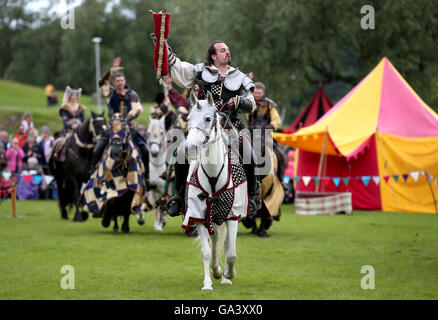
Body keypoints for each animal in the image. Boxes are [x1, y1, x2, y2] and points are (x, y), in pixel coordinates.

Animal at [182, 91, 250, 292]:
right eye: (188, 119)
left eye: (207, 118)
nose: (189, 148)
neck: (213, 175)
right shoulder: (198, 216)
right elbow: (206, 252)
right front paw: (209, 281)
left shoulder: (232, 215)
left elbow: (231, 253)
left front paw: (228, 274)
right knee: (215, 242)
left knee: (226, 245)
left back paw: (225, 276)